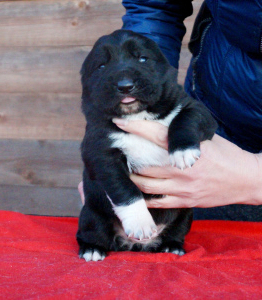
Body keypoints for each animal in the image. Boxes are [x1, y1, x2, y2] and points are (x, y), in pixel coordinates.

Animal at [77, 29, 218, 262]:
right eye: (102, 66)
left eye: (142, 59)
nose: (125, 86)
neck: (137, 115)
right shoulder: (100, 150)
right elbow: (124, 188)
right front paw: (139, 222)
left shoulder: (197, 110)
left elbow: (186, 118)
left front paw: (183, 151)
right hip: (91, 212)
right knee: (91, 230)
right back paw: (92, 249)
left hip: (185, 212)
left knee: (177, 231)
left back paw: (172, 246)